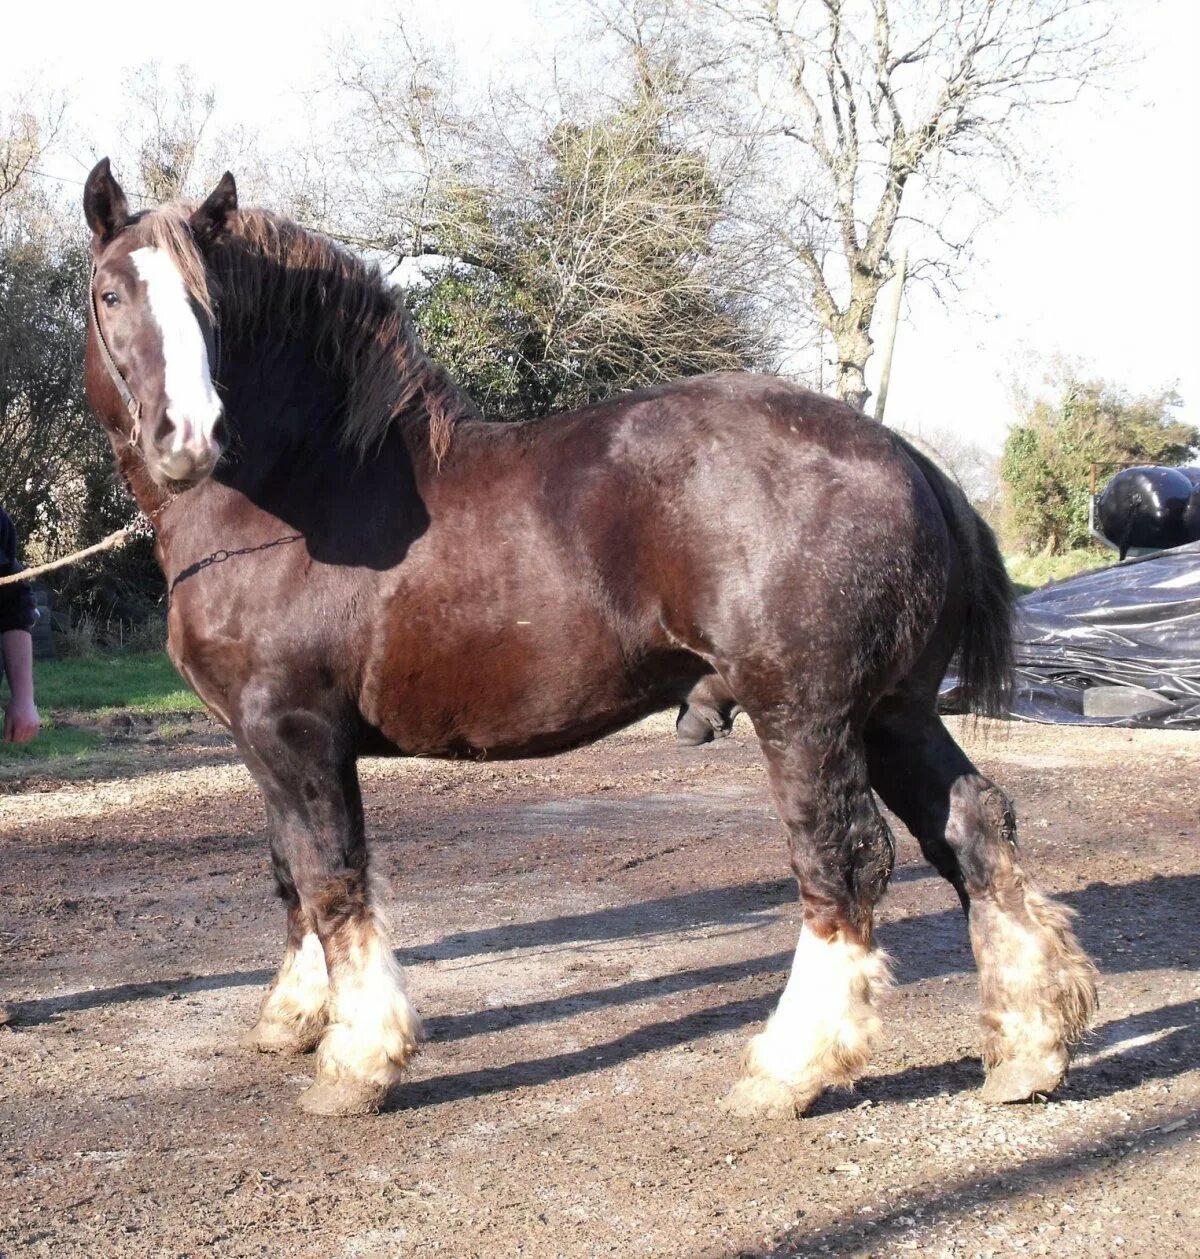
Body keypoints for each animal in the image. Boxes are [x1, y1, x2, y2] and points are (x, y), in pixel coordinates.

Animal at [81, 162, 1098, 1117]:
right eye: (112, 292)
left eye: (207, 305)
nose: (188, 437)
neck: (301, 494)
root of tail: (906, 456)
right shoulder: (264, 743)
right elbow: (290, 875)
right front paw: (295, 1016)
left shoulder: (297, 733)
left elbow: (332, 879)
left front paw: (357, 1060)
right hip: (892, 712)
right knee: (974, 828)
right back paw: (1026, 1050)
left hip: (807, 719)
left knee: (843, 866)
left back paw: (788, 1067)